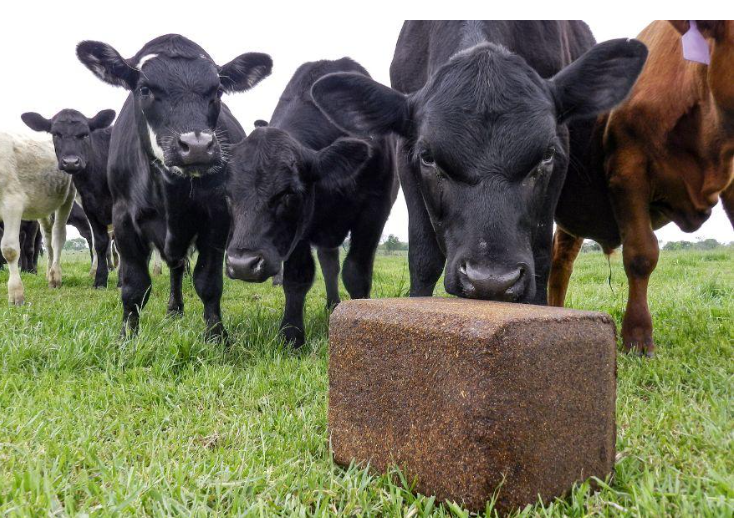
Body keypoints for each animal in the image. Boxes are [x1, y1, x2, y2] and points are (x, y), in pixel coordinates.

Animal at [0, 132, 75, 304]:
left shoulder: (12, 202)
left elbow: (10, 250)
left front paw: (16, 293)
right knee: (48, 239)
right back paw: (49, 273)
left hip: (68, 194)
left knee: (58, 235)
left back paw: (55, 276)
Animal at [22, 108, 117, 288]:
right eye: (55, 134)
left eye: (85, 134)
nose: (71, 162)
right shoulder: (90, 207)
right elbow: (100, 243)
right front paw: (100, 281)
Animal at [76, 34, 272, 339]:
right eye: (144, 89)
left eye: (217, 91)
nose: (197, 146)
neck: (169, 193)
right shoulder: (122, 219)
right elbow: (134, 286)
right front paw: (127, 336)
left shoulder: (216, 218)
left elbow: (208, 282)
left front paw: (217, 336)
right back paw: (173, 310)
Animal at [225, 58, 397, 347]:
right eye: (228, 194)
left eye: (289, 193)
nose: (242, 264)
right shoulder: (299, 232)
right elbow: (298, 277)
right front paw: (291, 335)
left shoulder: (374, 210)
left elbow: (356, 273)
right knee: (329, 264)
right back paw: (332, 306)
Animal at [311, 21, 647, 306]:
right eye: (428, 157)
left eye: (547, 154)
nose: (492, 282)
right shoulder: (404, 150)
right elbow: (423, 258)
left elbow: (541, 256)